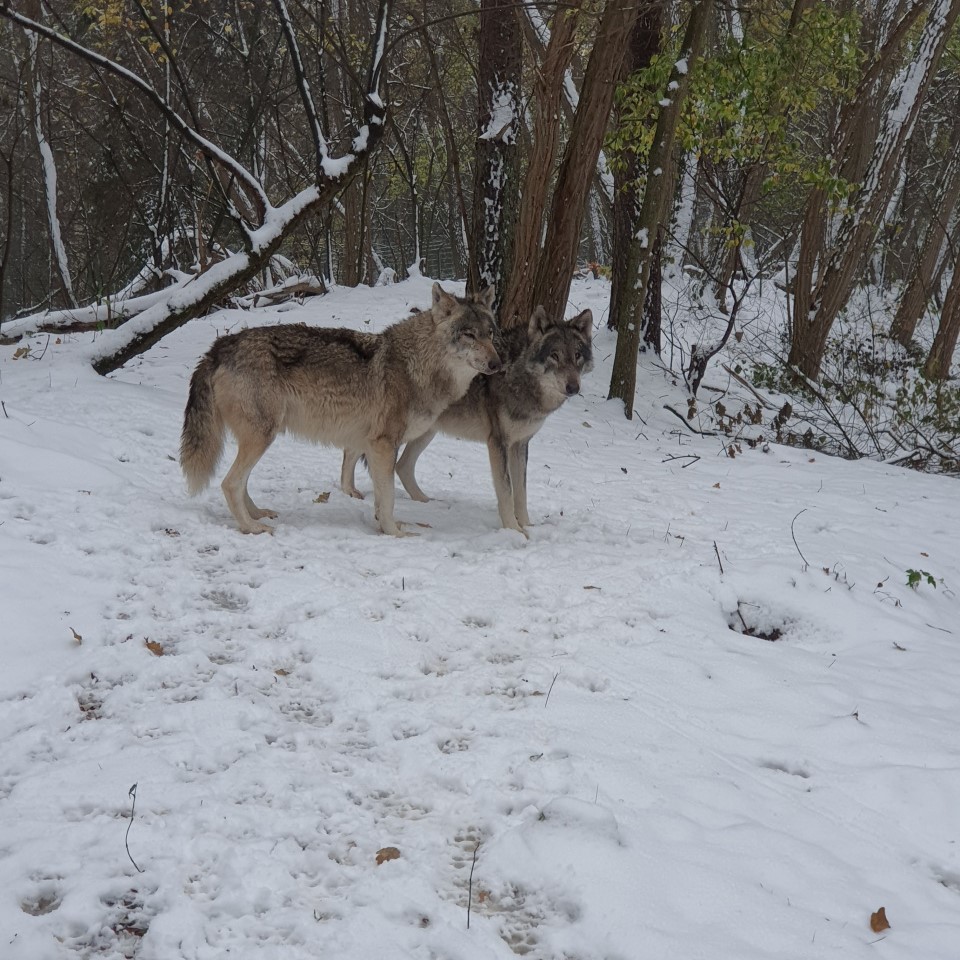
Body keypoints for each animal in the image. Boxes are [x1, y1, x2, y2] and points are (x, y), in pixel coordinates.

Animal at [180, 283, 501, 536]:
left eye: (490, 334)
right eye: (469, 335)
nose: (498, 364)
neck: (417, 365)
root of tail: (221, 345)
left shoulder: (371, 444)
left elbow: (378, 496)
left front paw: (384, 525)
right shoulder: (383, 444)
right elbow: (388, 499)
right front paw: (395, 533)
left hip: (259, 438)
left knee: (241, 482)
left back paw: (258, 514)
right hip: (261, 437)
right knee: (230, 483)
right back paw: (252, 527)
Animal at [340, 305, 593, 535]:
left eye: (577, 356)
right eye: (554, 356)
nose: (573, 387)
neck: (516, 373)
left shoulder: (520, 444)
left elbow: (521, 493)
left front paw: (528, 525)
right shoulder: (498, 443)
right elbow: (507, 492)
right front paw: (513, 529)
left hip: (425, 431)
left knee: (402, 466)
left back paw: (425, 501)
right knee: (352, 451)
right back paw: (348, 491)